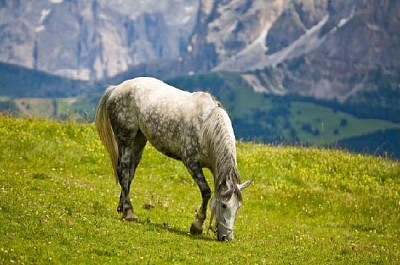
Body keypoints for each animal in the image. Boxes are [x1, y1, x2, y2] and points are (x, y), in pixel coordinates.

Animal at [94, 76, 250, 239]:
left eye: (238, 207)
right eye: (223, 205)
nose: (227, 238)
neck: (206, 127)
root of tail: (116, 88)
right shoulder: (191, 162)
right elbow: (206, 192)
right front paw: (197, 226)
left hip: (139, 139)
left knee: (129, 173)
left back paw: (123, 208)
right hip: (125, 138)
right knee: (123, 170)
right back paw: (129, 213)